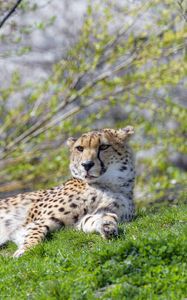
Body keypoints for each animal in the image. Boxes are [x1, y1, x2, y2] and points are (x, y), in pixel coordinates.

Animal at [0, 126, 135, 258]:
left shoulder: (78, 222)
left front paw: (107, 225)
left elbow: (97, 218)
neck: (108, 184)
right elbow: (35, 232)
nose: (87, 165)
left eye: (103, 147)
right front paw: (26, 249)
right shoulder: (33, 221)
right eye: (80, 148)